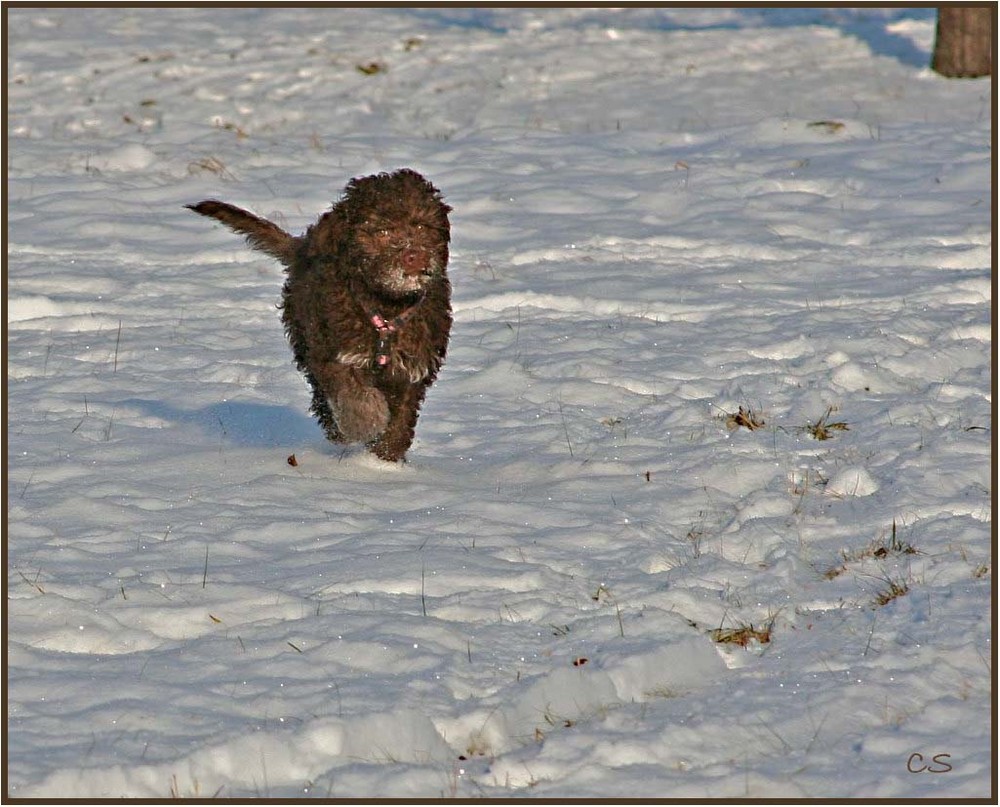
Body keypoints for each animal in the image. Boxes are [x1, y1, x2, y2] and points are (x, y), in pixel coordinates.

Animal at [188, 169, 454, 460]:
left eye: (422, 227)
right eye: (382, 231)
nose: (414, 256)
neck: (386, 307)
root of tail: (304, 246)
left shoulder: (413, 367)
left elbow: (402, 414)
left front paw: (385, 457)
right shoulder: (334, 353)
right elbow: (355, 396)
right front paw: (368, 424)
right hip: (306, 339)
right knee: (323, 396)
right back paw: (338, 431)